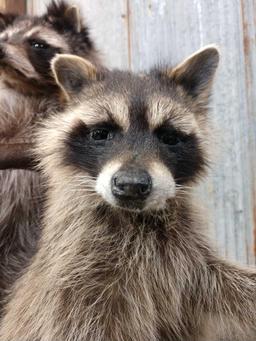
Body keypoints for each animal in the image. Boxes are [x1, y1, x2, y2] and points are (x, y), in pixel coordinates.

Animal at [0, 47, 255, 340]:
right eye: (101, 133)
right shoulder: (74, 278)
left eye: (169, 137)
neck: (135, 218)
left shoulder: (188, 262)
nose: (132, 185)